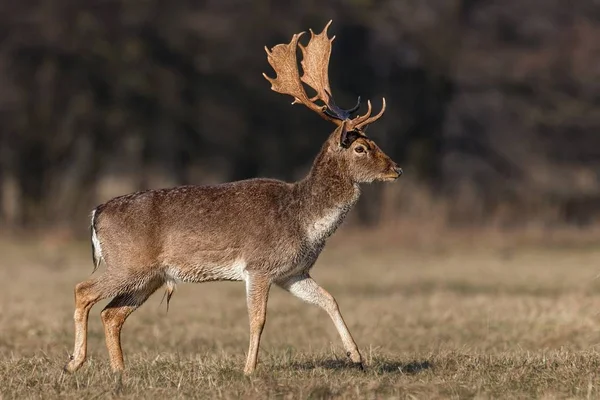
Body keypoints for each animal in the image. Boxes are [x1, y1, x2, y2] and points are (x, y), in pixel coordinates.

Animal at [64, 19, 404, 376]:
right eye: (361, 147)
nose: (396, 169)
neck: (304, 220)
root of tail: (96, 212)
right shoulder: (259, 265)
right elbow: (259, 319)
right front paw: (249, 369)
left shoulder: (292, 272)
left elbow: (330, 299)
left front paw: (357, 357)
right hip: (127, 264)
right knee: (82, 291)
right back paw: (74, 362)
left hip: (150, 276)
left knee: (111, 313)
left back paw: (119, 370)